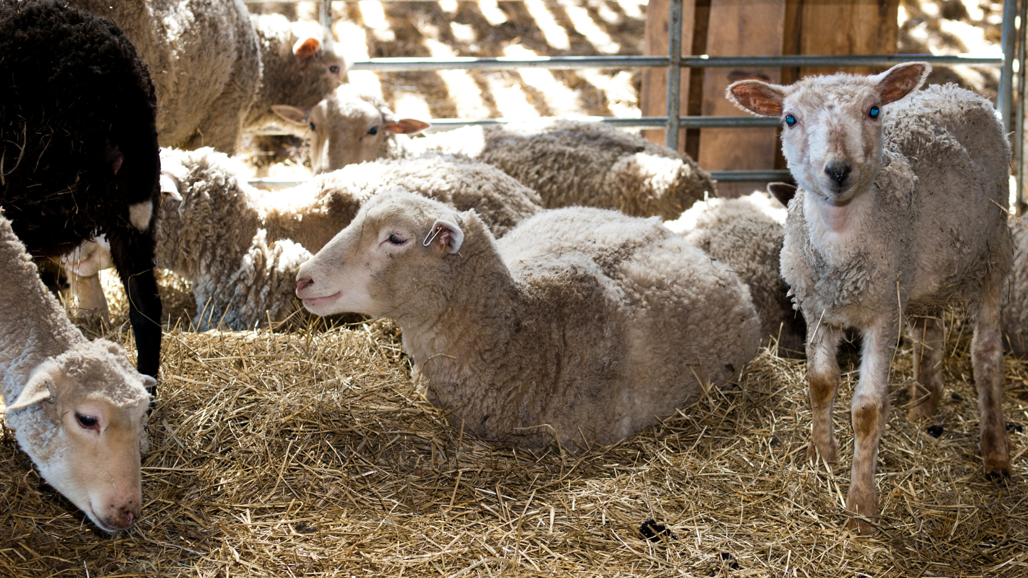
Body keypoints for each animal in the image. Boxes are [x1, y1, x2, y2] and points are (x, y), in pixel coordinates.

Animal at [728, 64, 1013, 533]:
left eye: (874, 110)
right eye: (790, 118)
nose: (838, 170)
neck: (841, 237)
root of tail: (959, 90)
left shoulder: (882, 316)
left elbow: (866, 409)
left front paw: (861, 505)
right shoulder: (818, 308)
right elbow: (820, 383)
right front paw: (821, 455)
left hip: (993, 253)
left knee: (986, 352)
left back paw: (995, 453)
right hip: (923, 278)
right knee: (930, 332)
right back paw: (923, 406)